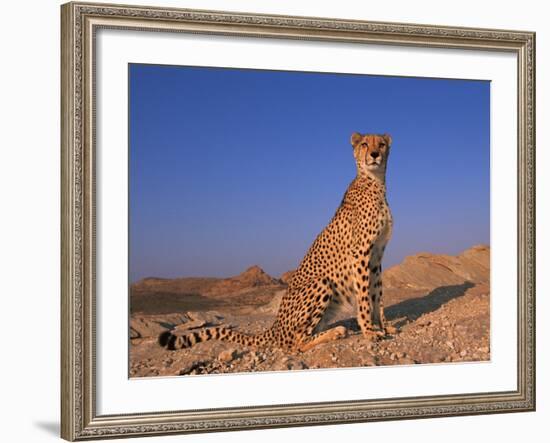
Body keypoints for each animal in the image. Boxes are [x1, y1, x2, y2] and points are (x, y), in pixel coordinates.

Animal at [160, 132, 396, 354]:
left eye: (381, 144)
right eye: (364, 144)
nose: (375, 154)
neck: (375, 182)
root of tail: (274, 327)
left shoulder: (376, 256)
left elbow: (377, 294)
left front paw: (384, 326)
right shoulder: (361, 253)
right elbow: (364, 297)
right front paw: (369, 331)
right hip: (321, 283)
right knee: (295, 344)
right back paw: (336, 332)